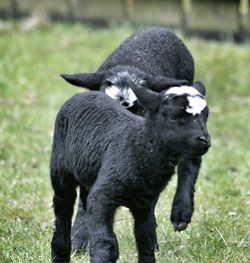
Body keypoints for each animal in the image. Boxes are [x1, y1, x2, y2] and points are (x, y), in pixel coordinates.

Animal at [49, 82, 210, 262]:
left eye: (206, 116)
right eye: (173, 118)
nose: (204, 140)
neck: (137, 144)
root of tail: (82, 95)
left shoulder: (145, 203)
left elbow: (146, 238)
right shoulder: (103, 196)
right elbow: (104, 240)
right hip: (60, 170)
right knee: (63, 207)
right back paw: (60, 253)